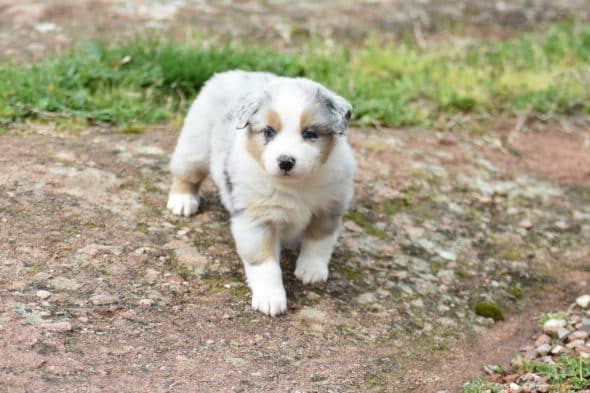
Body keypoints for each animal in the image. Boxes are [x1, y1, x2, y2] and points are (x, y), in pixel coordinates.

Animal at [169, 70, 358, 316]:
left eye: (310, 133)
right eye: (269, 131)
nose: (285, 161)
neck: (294, 185)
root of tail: (229, 73)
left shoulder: (328, 208)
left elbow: (318, 242)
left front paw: (311, 270)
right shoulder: (257, 219)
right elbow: (265, 263)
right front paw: (270, 299)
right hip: (196, 144)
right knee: (187, 173)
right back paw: (182, 201)